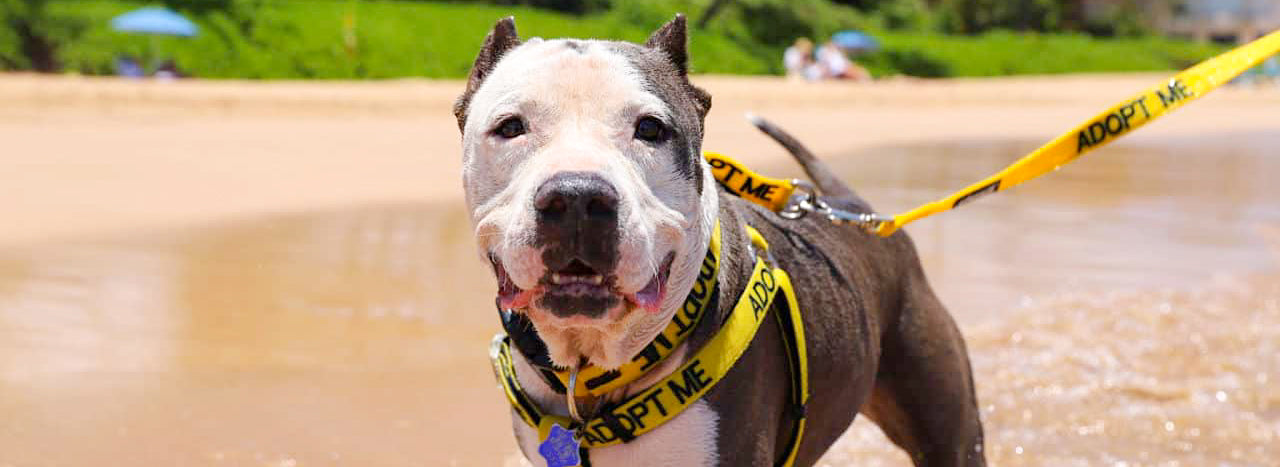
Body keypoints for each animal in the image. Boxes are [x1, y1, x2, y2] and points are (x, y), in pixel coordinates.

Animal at [455, 14, 983, 465]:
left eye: (650, 128)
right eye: (510, 127)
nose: (578, 197)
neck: (591, 373)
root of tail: (853, 208)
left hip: (950, 428)